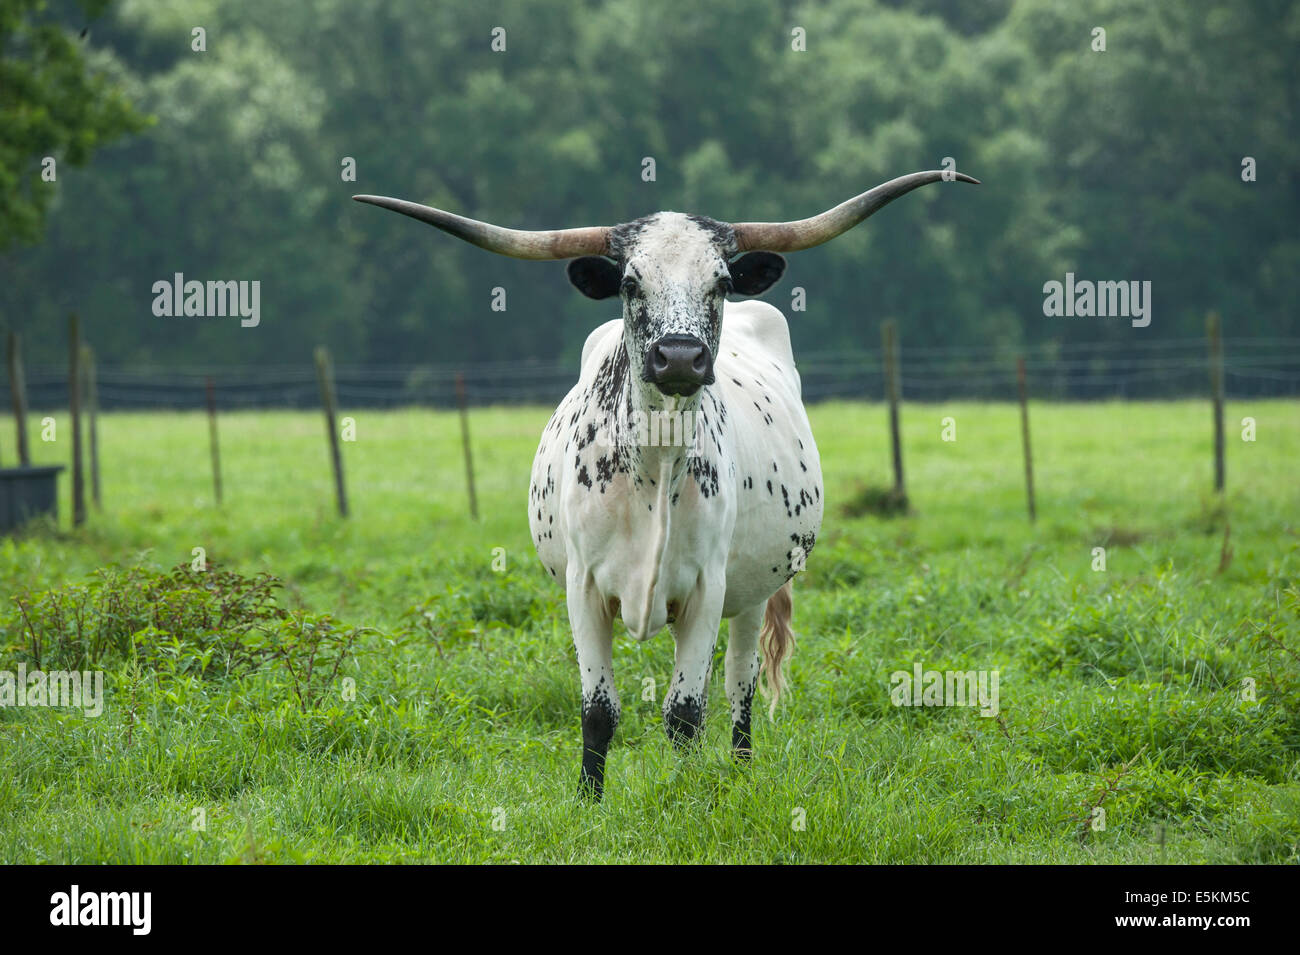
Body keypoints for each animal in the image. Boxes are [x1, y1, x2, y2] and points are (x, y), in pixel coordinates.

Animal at [355, 169, 977, 798]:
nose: (679, 357)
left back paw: (741, 771)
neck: (652, 468)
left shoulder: (707, 587)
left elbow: (684, 714)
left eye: (721, 283)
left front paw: (685, 795)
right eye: (631, 283)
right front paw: (589, 800)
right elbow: (598, 712)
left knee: (739, 684)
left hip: (752, 590)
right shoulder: (582, 588)